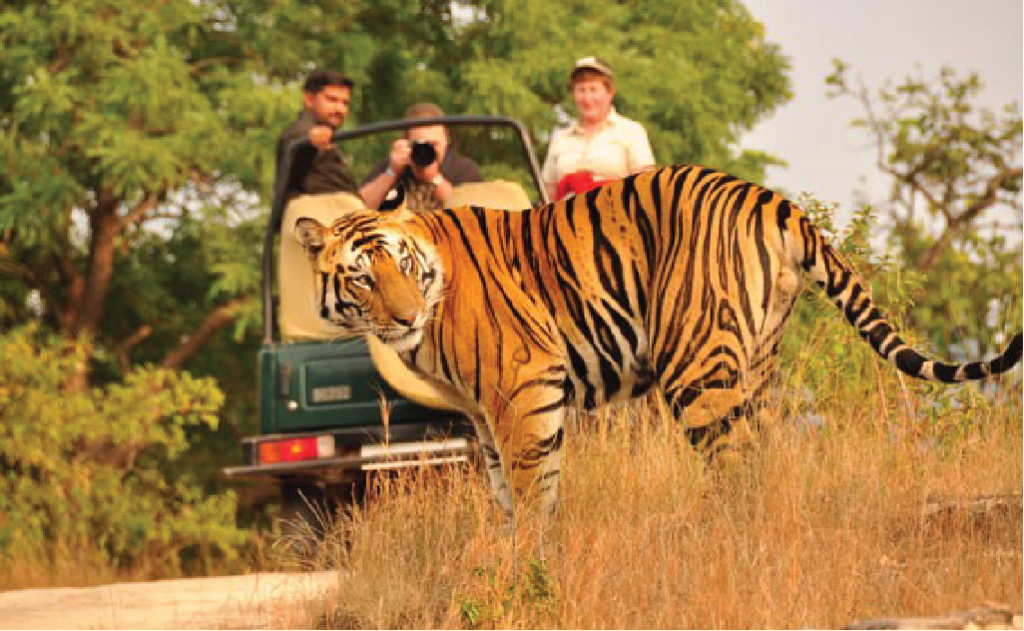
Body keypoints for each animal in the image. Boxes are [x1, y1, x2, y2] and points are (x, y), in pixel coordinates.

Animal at [292, 164, 1019, 520]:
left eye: (401, 265)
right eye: (363, 276)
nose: (405, 317)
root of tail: (771, 199)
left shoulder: (525, 386)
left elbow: (531, 492)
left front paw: (528, 570)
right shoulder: (484, 411)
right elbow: (509, 491)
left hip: (695, 365)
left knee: (734, 465)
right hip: (755, 362)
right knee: (763, 458)